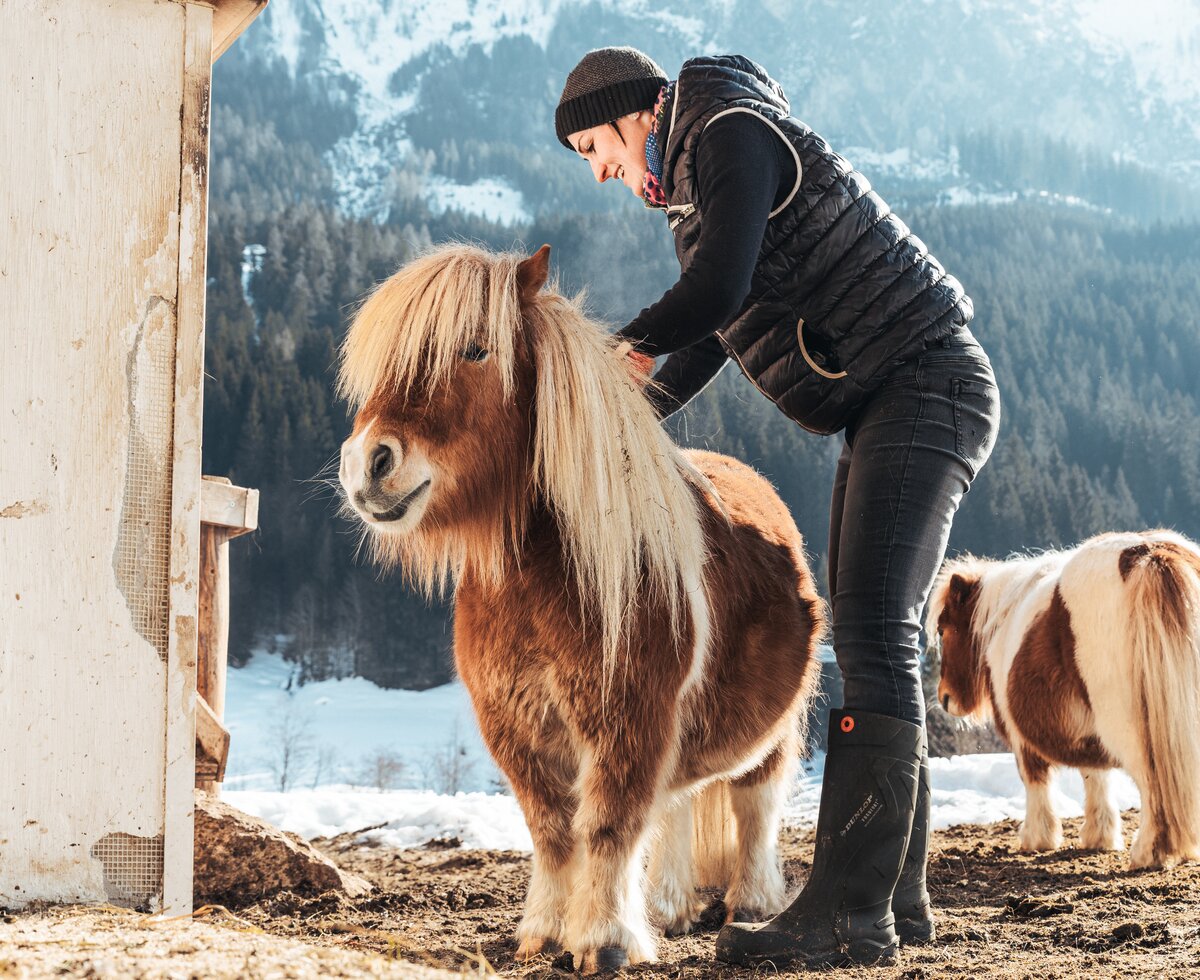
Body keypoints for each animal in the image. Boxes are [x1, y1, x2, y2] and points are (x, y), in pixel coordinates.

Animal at [338, 244, 825, 969]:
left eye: (476, 350)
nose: (368, 464)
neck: (546, 578)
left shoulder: (627, 719)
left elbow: (608, 826)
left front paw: (603, 941)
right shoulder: (512, 724)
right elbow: (553, 830)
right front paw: (544, 935)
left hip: (771, 732)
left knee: (753, 805)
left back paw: (753, 906)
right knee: (678, 805)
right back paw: (670, 910)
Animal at [926, 532, 1200, 868]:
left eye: (943, 629)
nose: (945, 698)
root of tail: (1151, 556)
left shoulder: (1020, 737)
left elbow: (1034, 781)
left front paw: (1036, 838)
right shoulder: (1089, 734)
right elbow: (1095, 775)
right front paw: (1099, 837)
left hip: (1129, 728)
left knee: (1151, 785)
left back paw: (1147, 852)